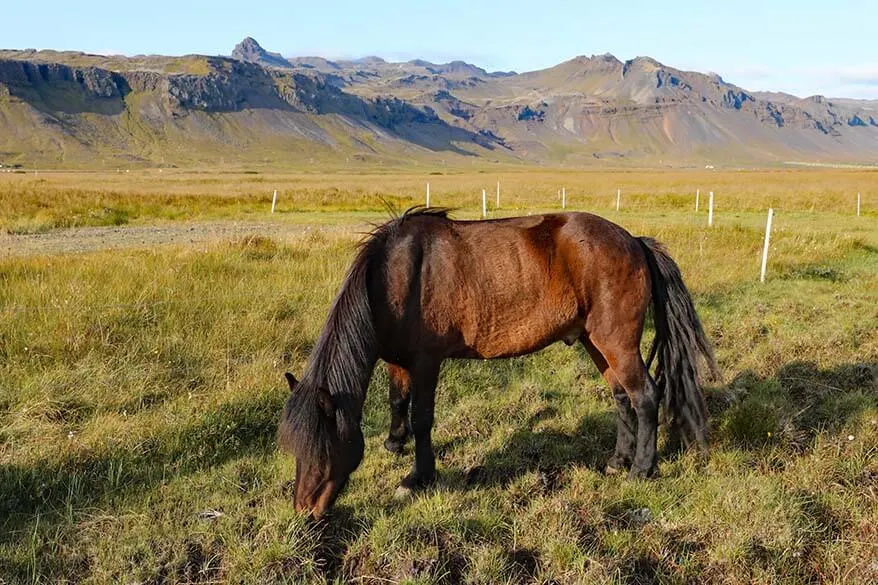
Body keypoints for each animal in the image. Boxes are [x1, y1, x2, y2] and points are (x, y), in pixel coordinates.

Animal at [278, 209, 720, 516]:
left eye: (322, 448)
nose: (304, 510)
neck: (394, 277)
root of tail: (634, 241)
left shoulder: (426, 363)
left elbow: (422, 418)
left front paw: (419, 477)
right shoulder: (398, 361)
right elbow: (397, 403)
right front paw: (394, 443)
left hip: (617, 343)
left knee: (645, 397)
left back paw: (641, 470)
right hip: (597, 343)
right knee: (622, 398)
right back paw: (616, 461)